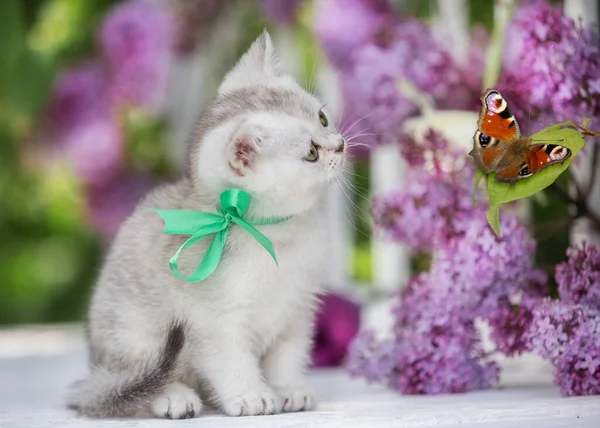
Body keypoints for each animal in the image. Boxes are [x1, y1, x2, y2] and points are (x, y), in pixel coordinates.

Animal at [68, 31, 346, 420]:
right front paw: (252, 396)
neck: (279, 237)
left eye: (322, 117)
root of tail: (95, 372)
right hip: (133, 335)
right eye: (310, 153)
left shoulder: (298, 309)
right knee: (138, 382)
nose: (341, 144)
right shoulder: (213, 322)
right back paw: (173, 397)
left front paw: (289, 389)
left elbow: (286, 357)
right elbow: (231, 361)